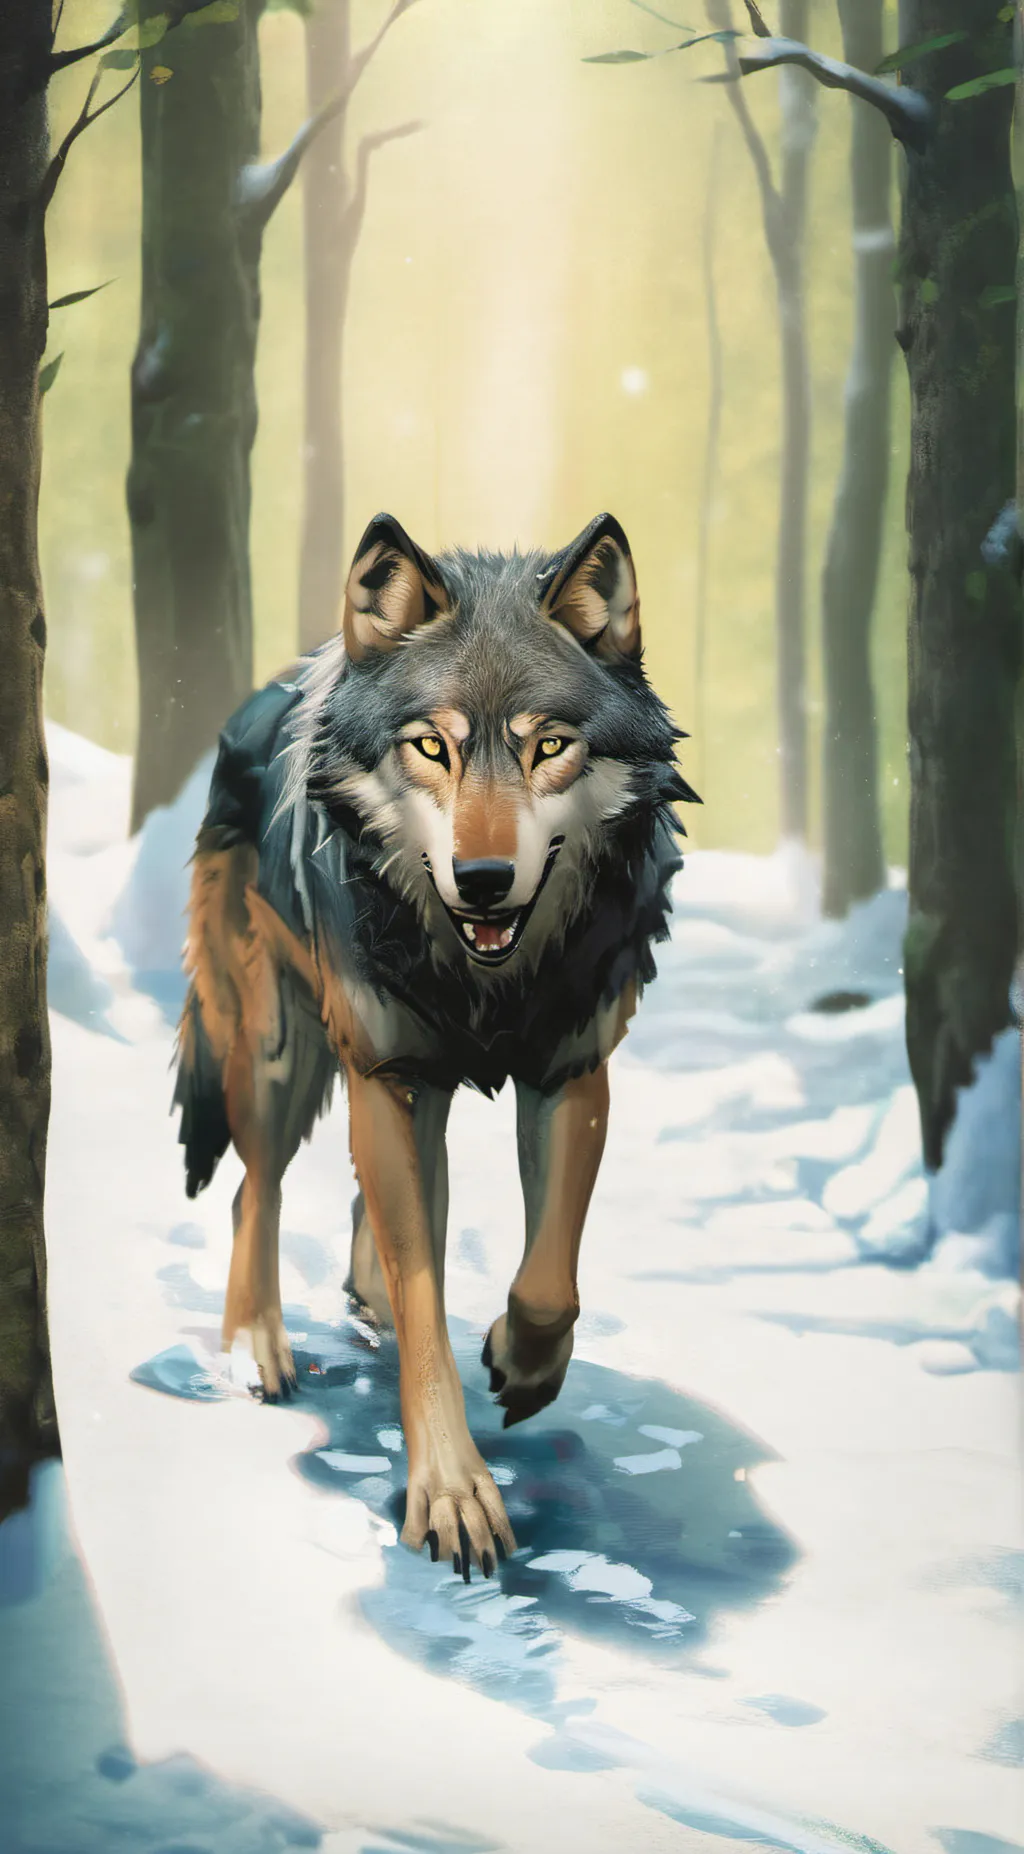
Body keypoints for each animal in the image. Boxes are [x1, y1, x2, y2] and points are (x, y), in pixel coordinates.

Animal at [173, 510, 697, 1579]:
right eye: (430, 746)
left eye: (549, 747)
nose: (485, 878)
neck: (487, 982)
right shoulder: (389, 1077)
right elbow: (424, 1299)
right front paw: (453, 1496)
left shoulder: (569, 1071)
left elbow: (549, 1278)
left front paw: (523, 1366)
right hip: (284, 1057)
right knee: (258, 1190)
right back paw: (255, 1348)